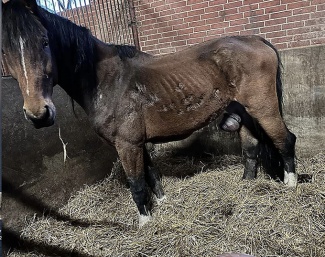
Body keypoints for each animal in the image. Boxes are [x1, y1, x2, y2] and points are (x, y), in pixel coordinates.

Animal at [3, 0, 296, 225]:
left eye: (44, 42)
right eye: (5, 52)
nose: (38, 114)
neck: (107, 80)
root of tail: (257, 39)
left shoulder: (126, 144)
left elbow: (136, 182)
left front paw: (145, 222)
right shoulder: (137, 142)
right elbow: (151, 173)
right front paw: (163, 202)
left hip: (264, 109)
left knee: (285, 140)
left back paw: (291, 185)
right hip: (244, 113)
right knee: (251, 147)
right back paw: (246, 185)